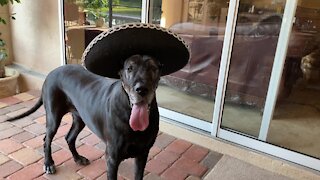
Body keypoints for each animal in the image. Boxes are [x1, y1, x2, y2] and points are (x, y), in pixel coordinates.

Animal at [7, 54, 161, 180]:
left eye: (153, 68)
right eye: (129, 68)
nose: (142, 89)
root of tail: (52, 72)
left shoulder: (142, 155)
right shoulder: (112, 158)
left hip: (80, 118)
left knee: (69, 137)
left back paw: (78, 158)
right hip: (53, 117)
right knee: (47, 139)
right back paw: (48, 163)